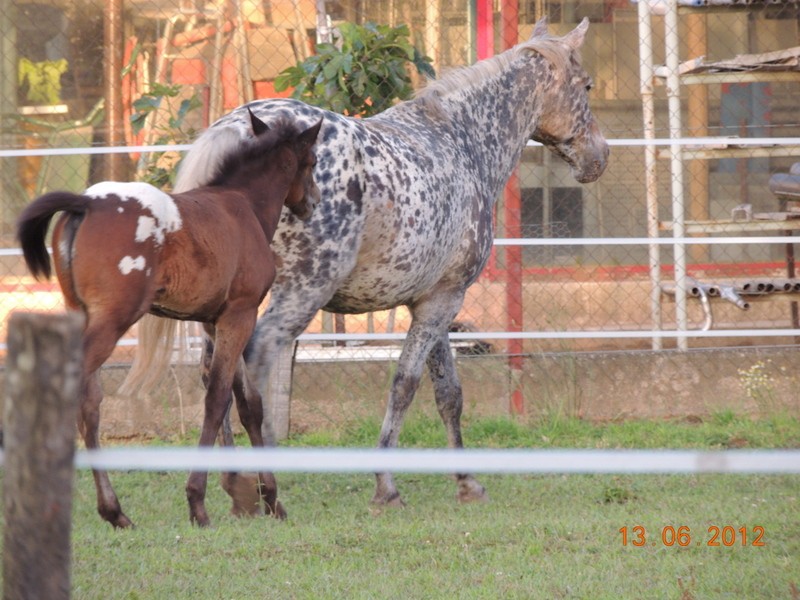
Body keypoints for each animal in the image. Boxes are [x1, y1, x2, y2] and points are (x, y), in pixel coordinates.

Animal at [16, 111, 322, 524]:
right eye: (312, 162)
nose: (313, 201)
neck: (243, 205)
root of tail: (84, 202)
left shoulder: (215, 321)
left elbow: (250, 403)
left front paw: (271, 499)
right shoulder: (240, 315)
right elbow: (218, 398)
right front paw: (198, 502)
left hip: (79, 314)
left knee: (90, 403)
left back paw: (114, 511)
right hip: (113, 321)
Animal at [133, 16, 608, 508]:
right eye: (588, 85)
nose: (599, 157)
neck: (460, 143)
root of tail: (235, 129)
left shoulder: (434, 301)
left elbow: (448, 393)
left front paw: (466, 481)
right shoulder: (444, 301)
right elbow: (405, 386)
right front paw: (387, 485)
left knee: (216, 372)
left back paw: (231, 484)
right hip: (299, 293)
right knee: (254, 363)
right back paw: (264, 484)